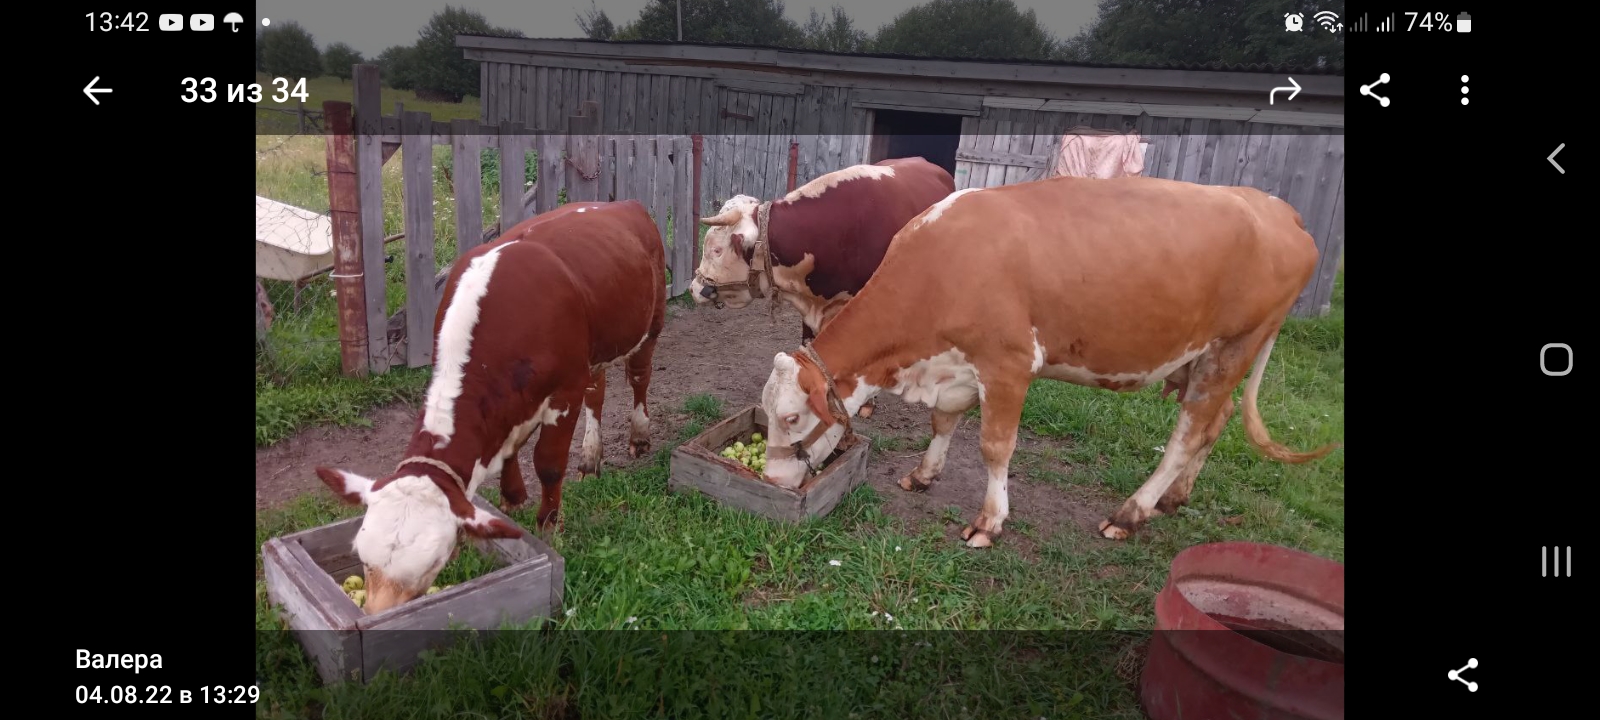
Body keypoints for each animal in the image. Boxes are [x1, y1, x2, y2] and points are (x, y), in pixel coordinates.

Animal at [313, 200, 666, 613]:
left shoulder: (565, 389)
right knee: (598, 391)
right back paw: (590, 458)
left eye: (433, 563)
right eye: (363, 558)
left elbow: (547, 463)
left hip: (651, 323)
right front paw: (512, 498)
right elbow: (510, 449)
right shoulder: (516, 399)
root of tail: (620, 204)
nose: (374, 617)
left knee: (639, 377)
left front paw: (549, 524)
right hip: (596, 350)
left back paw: (639, 435)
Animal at [754, 175, 1340, 548]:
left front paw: (989, 523)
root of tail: (1278, 208)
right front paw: (923, 474)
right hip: (1208, 358)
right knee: (1216, 424)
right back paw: (1174, 499)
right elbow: (943, 421)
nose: (773, 478)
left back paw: (1131, 513)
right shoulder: (956, 365)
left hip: (1234, 346)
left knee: (1188, 435)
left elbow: (995, 447)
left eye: (791, 417)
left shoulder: (1009, 364)